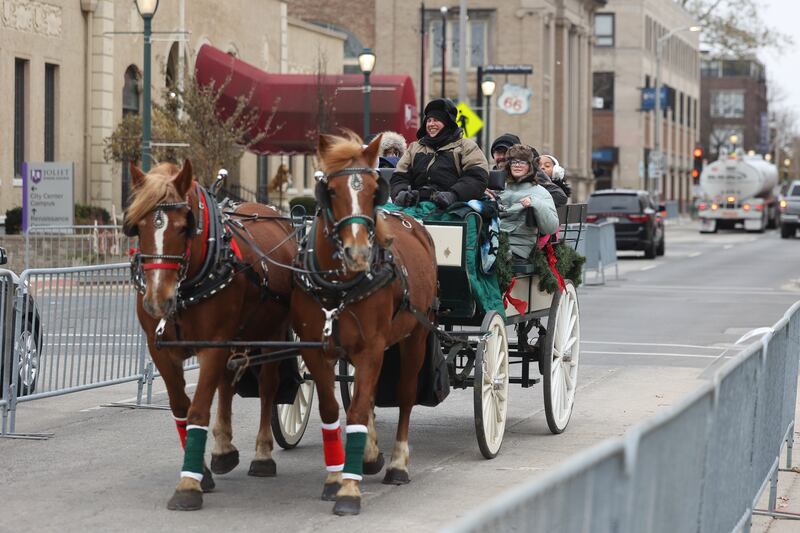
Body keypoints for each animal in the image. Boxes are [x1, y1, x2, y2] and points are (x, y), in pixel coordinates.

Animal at [125, 160, 296, 511]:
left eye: (182, 227)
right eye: (140, 226)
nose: (157, 301)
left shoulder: (212, 345)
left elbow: (199, 409)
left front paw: (188, 485)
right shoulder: (161, 349)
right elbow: (181, 408)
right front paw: (200, 470)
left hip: (270, 333)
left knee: (268, 387)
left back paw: (262, 455)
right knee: (227, 384)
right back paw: (223, 450)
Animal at [291, 133, 438, 515]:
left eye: (374, 190)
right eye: (330, 190)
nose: (357, 253)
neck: (339, 286)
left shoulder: (372, 346)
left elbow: (357, 410)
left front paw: (349, 490)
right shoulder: (317, 349)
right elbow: (333, 408)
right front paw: (335, 477)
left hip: (415, 335)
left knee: (405, 394)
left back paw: (398, 464)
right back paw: (370, 455)